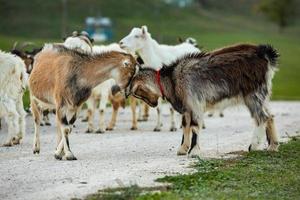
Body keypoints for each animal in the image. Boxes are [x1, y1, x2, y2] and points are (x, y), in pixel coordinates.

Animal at [127, 43, 280, 156]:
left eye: (137, 93)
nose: (153, 104)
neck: (172, 79)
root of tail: (265, 55)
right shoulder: (187, 107)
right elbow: (185, 125)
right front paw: (183, 149)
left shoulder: (194, 102)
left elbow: (194, 126)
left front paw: (194, 151)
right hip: (263, 95)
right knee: (270, 116)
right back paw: (272, 146)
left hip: (253, 95)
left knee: (262, 118)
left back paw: (253, 146)